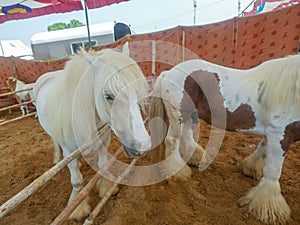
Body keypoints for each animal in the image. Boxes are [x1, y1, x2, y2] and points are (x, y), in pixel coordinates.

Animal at [33, 44, 151, 221]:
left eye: (137, 92)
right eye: (108, 96)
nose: (143, 145)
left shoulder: (104, 139)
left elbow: (102, 166)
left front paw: (106, 188)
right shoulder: (69, 151)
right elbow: (76, 181)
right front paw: (77, 207)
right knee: (55, 141)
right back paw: (57, 158)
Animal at [151, 55, 300, 225]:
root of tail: (169, 72)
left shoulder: (271, 134)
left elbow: (261, 151)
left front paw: (251, 169)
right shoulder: (280, 135)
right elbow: (273, 172)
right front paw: (270, 210)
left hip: (190, 116)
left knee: (187, 136)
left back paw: (196, 158)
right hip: (179, 116)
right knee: (172, 141)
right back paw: (179, 172)